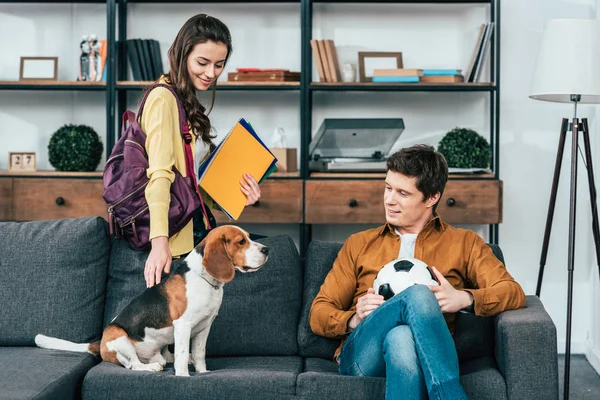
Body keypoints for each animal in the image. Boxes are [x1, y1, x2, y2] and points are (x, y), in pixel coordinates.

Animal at [37, 227, 270, 376]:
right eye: (241, 242)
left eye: (249, 237)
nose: (266, 249)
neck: (205, 280)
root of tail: (100, 342)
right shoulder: (183, 326)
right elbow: (182, 355)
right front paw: (183, 376)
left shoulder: (204, 327)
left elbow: (200, 353)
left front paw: (203, 371)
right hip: (119, 338)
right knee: (133, 365)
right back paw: (149, 368)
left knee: (164, 358)